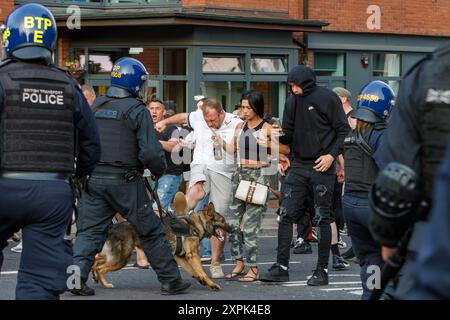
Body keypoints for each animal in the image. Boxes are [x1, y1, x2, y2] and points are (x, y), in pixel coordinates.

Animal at [92, 191, 230, 292]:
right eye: (222, 220)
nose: (232, 229)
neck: (196, 225)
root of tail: (112, 228)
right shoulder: (193, 255)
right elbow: (201, 271)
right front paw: (211, 284)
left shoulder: (179, 257)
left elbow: (193, 271)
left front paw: (200, 280)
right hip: (122, 259)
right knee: (100, 268)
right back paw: (106, 284)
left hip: (114, 256)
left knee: (96, 259)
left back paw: (94, 275)